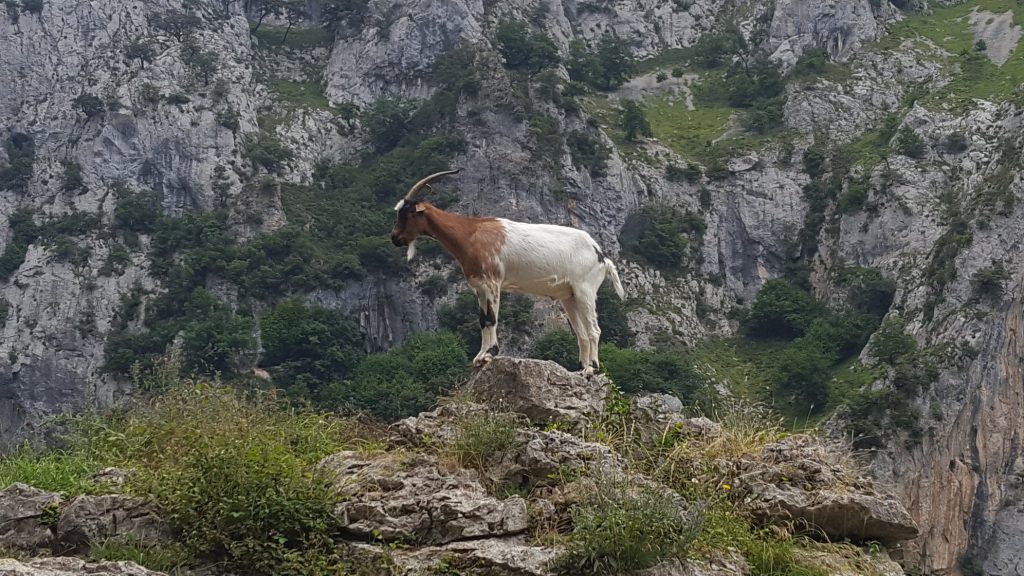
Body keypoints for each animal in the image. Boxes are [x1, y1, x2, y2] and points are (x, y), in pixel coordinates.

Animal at [389, 168, 622, 375]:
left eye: (409, 212)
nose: (395, 238)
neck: (470, 234)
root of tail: (601, 255)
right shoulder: (479, 287)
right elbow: (482, 320)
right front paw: (479, 357)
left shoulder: (493, 283)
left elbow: (492, 319)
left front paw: (490, 354)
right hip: (569, 296)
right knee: (581, 334)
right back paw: (581, 369)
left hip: (585, 290)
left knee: (594, 330)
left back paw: (592, 369)